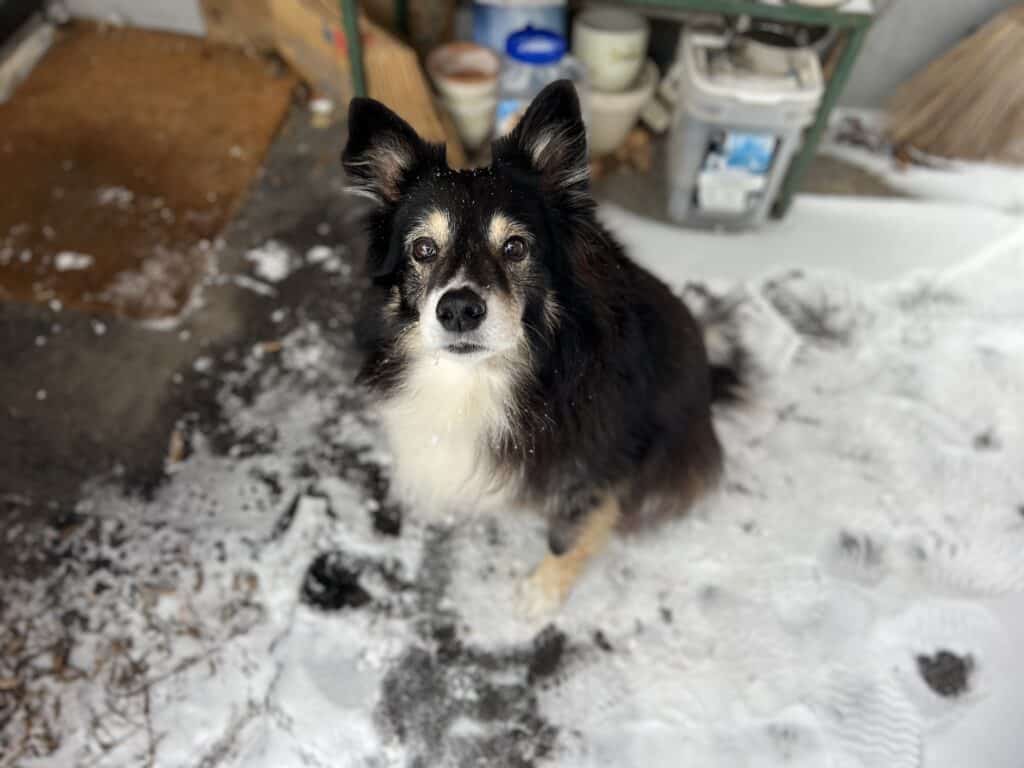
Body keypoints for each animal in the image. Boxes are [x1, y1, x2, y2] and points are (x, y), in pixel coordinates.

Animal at [346, 81, 737, 610]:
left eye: (516, 247)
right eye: (423, 249)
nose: (458, 310)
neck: (481, 379)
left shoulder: (597, 467)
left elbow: (570, 534)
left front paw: (541, 595)